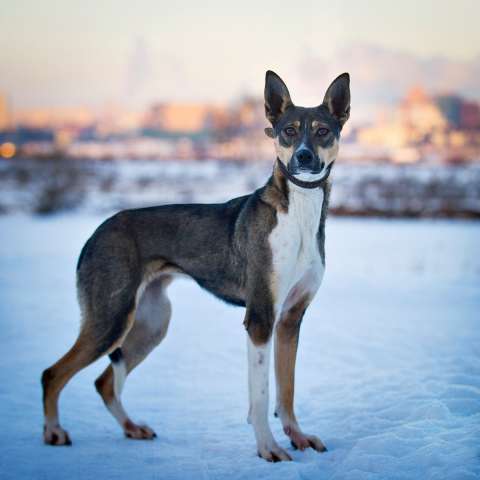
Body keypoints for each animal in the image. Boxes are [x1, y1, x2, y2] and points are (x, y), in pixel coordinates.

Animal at [42, 70, 348, 462]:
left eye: (323, 131)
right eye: (289, 131)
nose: (304, 157)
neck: (298, 213)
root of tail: (96, 232)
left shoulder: (290, 319)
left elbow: (287, 390)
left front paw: (298, 436)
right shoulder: (260, 318)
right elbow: (262, 396)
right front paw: (268, 448)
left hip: (151, 323)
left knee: (105, 382)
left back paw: (132, 428)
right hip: (110, 320)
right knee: (53, 374)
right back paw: (54, 431)